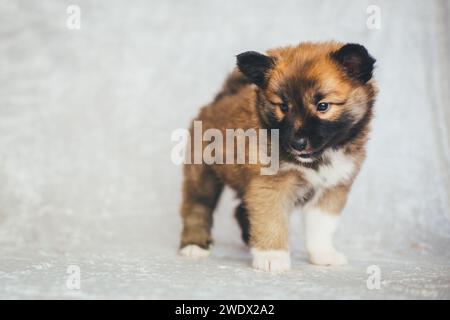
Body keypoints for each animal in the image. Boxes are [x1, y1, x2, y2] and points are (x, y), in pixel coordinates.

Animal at [178, 41, 376, 272]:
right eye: (283, 106)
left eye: (323, 106)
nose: (297, 144)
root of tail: (220, 99)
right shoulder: (270, 186)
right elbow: (271, 221)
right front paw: (271, 256)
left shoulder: (331, 189)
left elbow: (321, 227)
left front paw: (323, 254)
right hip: (203, 173)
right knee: (197, 206)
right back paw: (194, 245)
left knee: (240, 209)